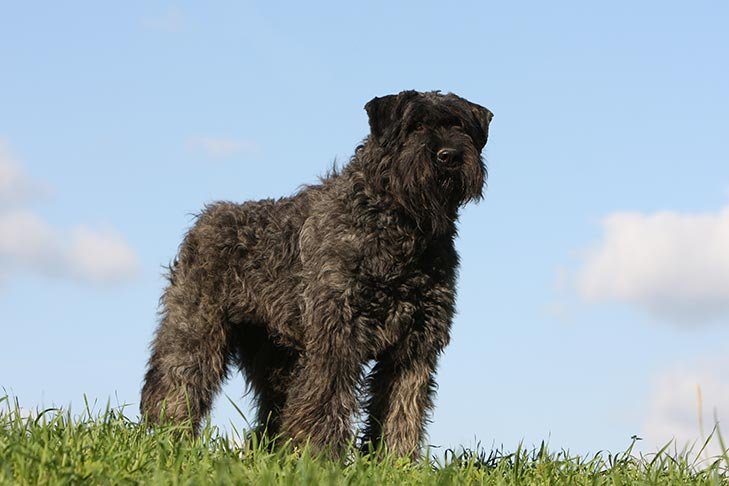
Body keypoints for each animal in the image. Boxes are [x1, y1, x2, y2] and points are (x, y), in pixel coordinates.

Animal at [139, 89, 492, 458]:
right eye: (415, 126)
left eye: (460, 126)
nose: (449, 156)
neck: (399, 228)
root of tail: (203, 221)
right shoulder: (336, 335)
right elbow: (326, 397)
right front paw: (319, 455)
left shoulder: (414, 345)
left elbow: (402, 407)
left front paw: (395, 459)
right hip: (196, 332)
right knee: (177, 383)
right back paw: (169, 438)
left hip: (276, 356)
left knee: (273, 410)